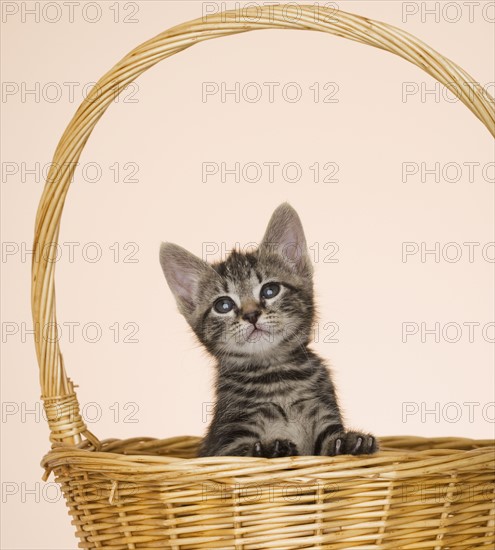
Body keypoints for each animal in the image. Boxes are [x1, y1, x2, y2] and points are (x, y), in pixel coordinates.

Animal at [161, 205, 378, 460]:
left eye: (270, 290)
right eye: (223, 305)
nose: (251, 315)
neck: (275, 375)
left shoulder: (323, 414)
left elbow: (328, 443)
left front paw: (350, 442)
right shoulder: (226, 442)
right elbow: (242, 452)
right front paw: (269, 447)